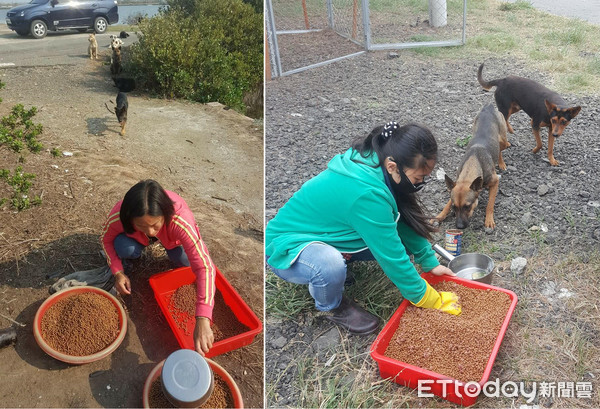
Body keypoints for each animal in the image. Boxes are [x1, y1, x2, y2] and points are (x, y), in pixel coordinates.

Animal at [438, 102, 508, 230]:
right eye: (454, 207)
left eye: (467, 206)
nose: (459, 226)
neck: (473, 163)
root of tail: (489, 106)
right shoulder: (456, 184)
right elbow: (447, 203)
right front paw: (440, 215)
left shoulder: (495, 182)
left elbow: (490, 204)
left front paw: (489, 219)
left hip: (503, 140)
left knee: (502, 148)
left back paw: (501, 163)